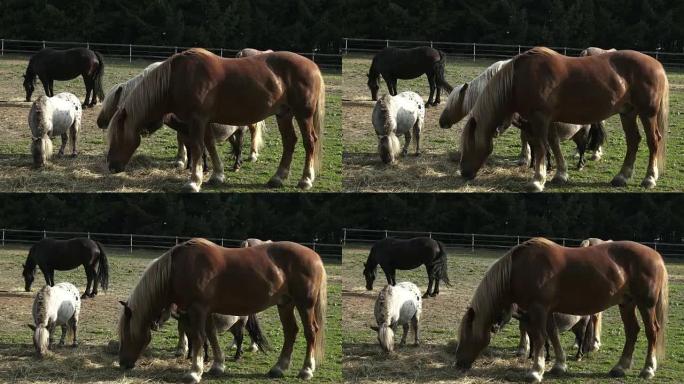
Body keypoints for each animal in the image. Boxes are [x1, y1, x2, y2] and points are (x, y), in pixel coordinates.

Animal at [107, 48, 326, 192]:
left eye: (117, 136)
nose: (111, 166)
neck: (176, 79)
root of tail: (312, 66)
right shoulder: (204, 121)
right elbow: (210, 146)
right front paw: (217, 175)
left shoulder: (196, 120)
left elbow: (197, 147)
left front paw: (194, 181)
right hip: (284, 114)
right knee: (289, 142)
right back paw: (278, 178)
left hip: (303, 114)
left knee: (309, 142)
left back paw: (306, 180)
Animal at [117, 238, 326, 382]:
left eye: (126, 334)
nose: (123, 363)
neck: (178, 269)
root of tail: (314, 256)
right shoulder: (207, 311)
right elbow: (211, 336)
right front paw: (217, 366)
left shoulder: (197, 309)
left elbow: (199, 337)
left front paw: (194, 372)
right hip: (285, 304)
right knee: (291, 332)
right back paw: (279, 368)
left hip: (304, 304)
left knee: (310, 332)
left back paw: (306, 370)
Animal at [454, 238, 668, 382]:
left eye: (467, 335)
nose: (458, 363)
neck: (520, 269)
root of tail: (656, 256)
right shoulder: (547, 311)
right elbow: (553, 335)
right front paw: (559, 365)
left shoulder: (538, 309)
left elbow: (540, 337)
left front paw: (536, 371)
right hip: (627, 303)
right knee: (632, 332)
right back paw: (620, 368)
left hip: (646, 304)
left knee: (651, 332)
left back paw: (648, 369)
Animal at [460, 48, 668, 192]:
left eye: (469, 145)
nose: (463, 173)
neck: (518, 79)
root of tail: (657, 65)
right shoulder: (549, 120)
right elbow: (553, 145)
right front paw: (560, 174)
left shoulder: (539, 118)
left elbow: (541, 146)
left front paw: (537, 180)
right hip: (628, 113)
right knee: (633, 141)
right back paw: (622, 177)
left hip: (647, 114)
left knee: (653, 141)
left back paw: (649, 178)